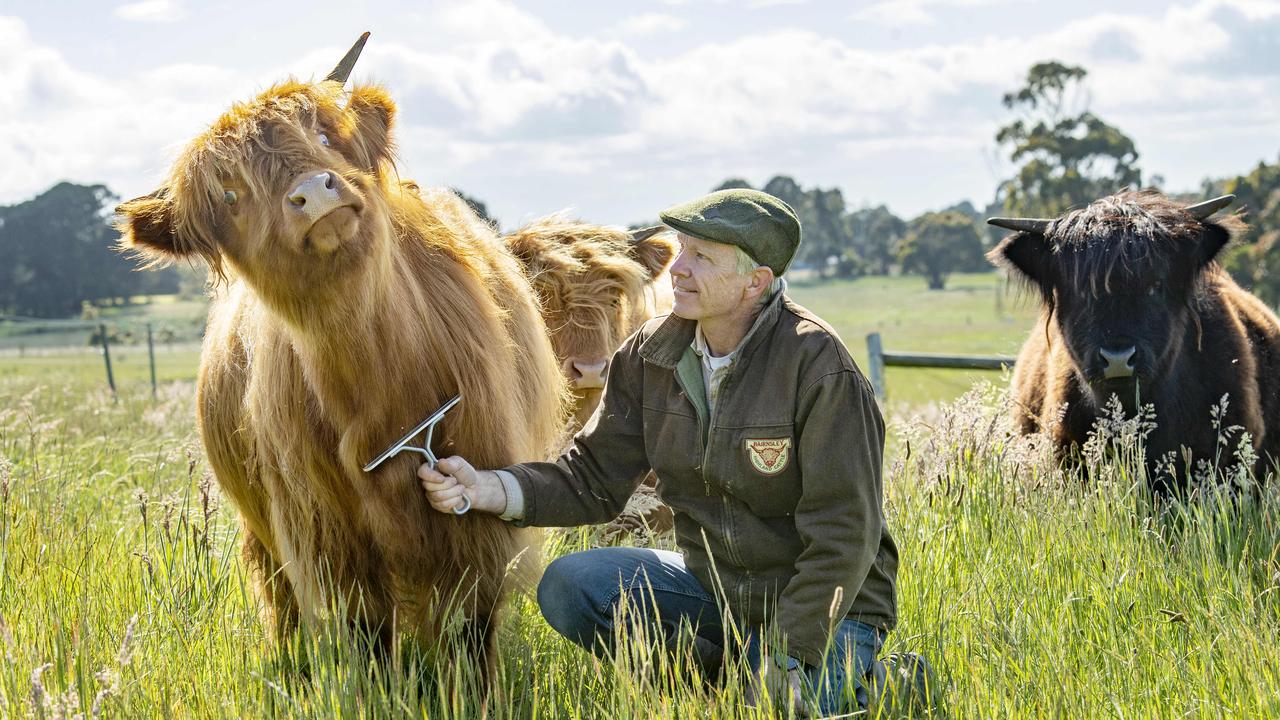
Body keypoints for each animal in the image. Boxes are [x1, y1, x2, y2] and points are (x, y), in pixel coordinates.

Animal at [113, 36, 565, 671]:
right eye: (230, 195)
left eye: (325, 137)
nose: (312, 194)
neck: (382, 380)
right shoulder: (327, 536)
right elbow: (367, 634)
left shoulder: (477, 522)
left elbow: (471, 632)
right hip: (261, 528)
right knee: (281, 599)